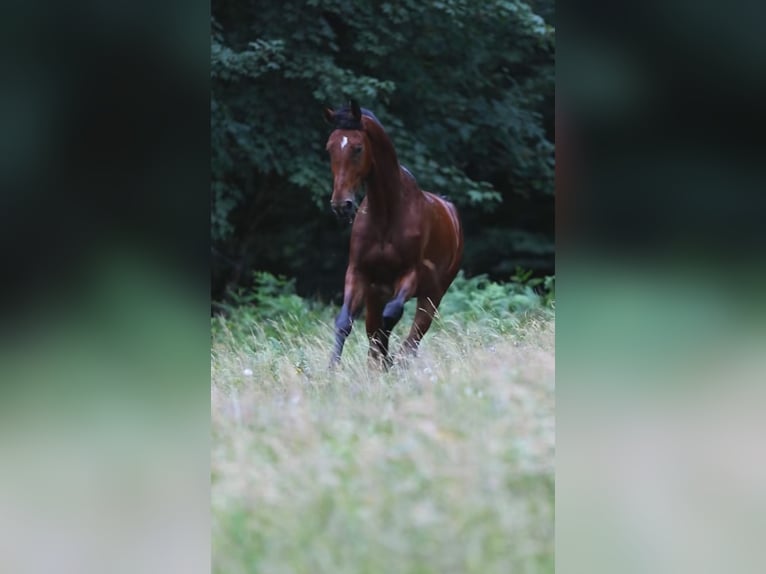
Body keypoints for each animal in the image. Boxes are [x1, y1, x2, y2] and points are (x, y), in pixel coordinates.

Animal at [323, 100, 464, 368]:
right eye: (329, 148)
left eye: (357, 148)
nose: (341, 205)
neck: (386, 215)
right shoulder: (358, 273)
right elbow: (345, 322)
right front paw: (331, 370)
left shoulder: (410, 274)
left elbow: (390, 318)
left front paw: (389, 362)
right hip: (375, 296)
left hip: (432, 296)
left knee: (413, 335)